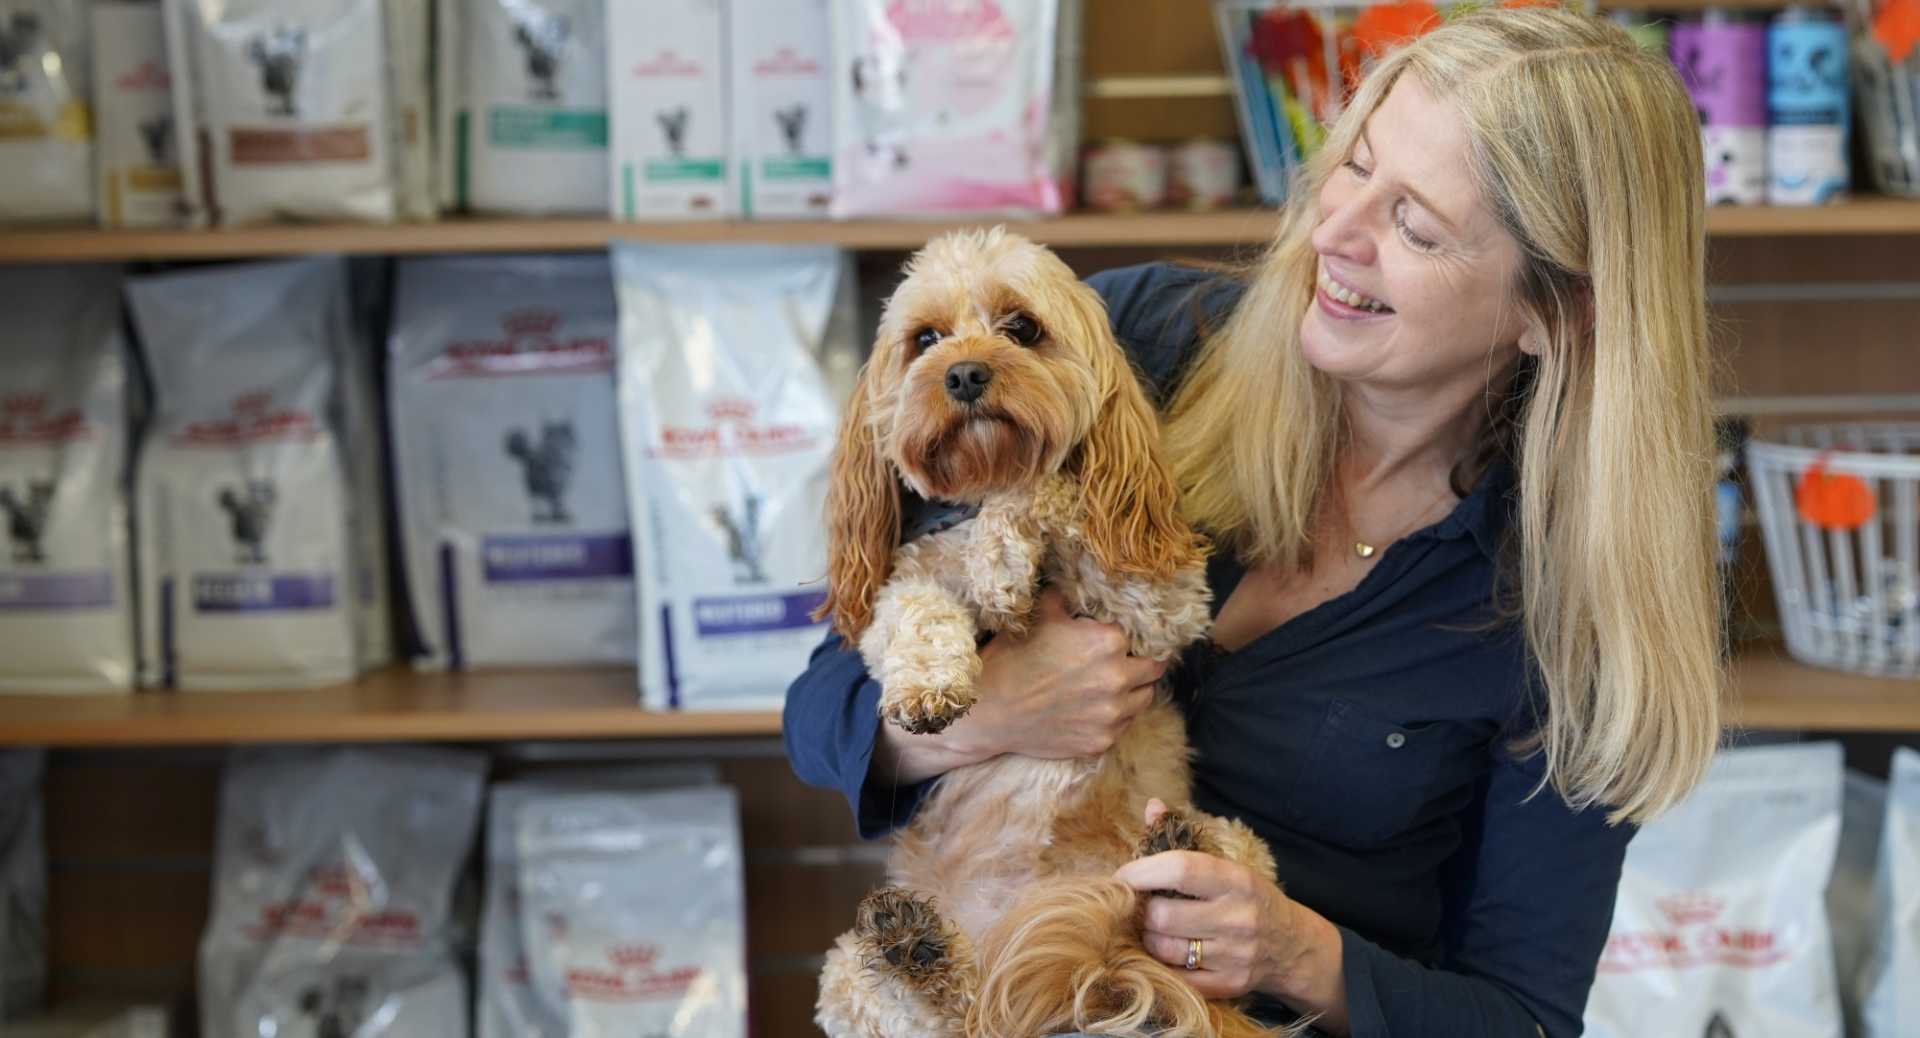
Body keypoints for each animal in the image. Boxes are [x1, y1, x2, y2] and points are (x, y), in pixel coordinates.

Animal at [812, 229, 1285, 1038]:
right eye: (925, 339)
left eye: (1023, 329)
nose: (965, 373)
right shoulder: (901, 586)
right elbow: (915, 614)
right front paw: (931, 685)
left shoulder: (1159, 600)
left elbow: (1043, 489)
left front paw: (1004, 563)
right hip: (852, 976)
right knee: (940, 1009)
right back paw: (916, 948)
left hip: (1215, 884)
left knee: (1232, 865)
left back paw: (1184, 844)